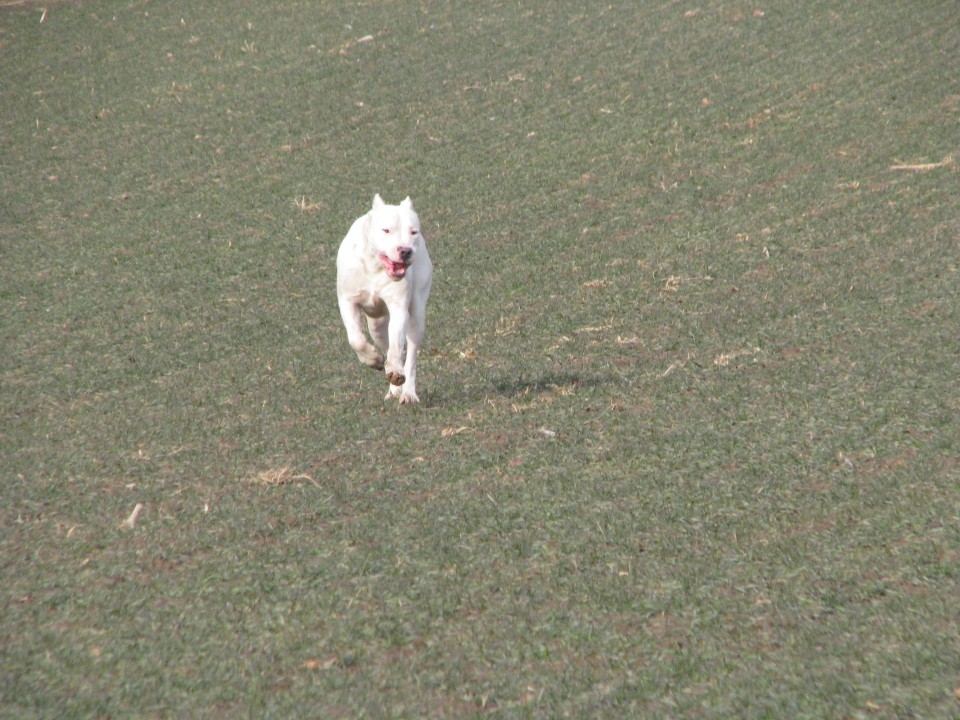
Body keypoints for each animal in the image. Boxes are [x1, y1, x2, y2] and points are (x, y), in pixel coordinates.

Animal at [334, 194, 432, 402]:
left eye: (413, 232)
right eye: (386, 230)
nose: (405, 250)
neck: (374, 267)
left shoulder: (399, 308)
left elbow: (396, 344)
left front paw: (394, 369)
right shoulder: (347, 301)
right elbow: (356, 339)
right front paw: (372, 358)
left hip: (417, 315)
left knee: (410, 352)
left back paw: (407, 391)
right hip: (377, 326)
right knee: (383, 341)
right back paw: (393, 386)